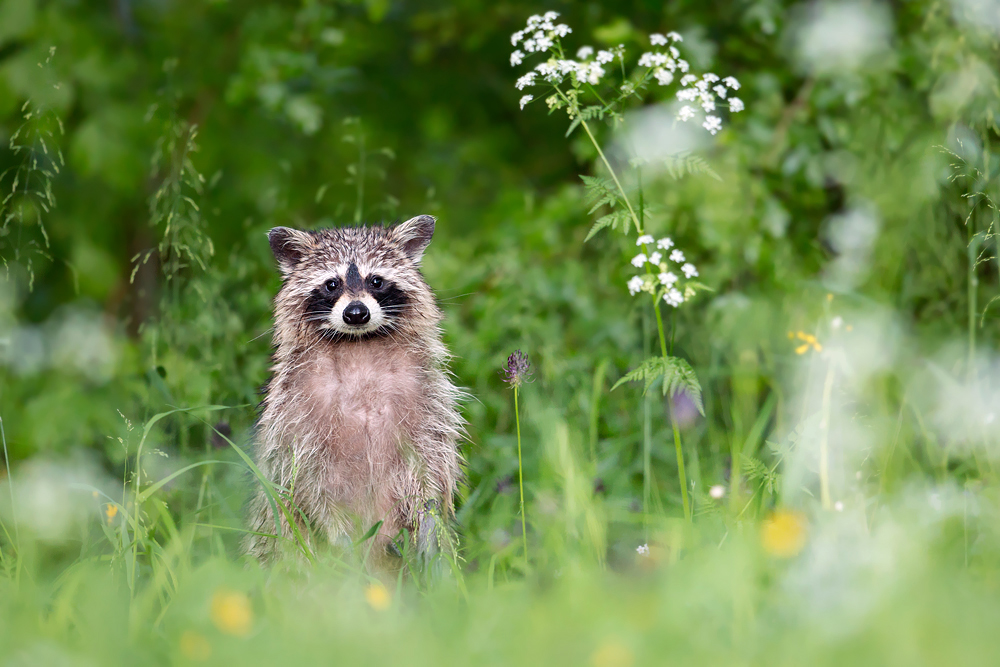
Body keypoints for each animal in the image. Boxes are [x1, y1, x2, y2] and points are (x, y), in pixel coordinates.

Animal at [248, 215, 466, 564]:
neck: (359, 344)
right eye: (331, 284)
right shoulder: (295, 409)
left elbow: (430, 468)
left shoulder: (427, 398)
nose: (356, 313)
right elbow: (304, 478)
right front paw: (337, 536)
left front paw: (426, 518)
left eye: (375, 280)